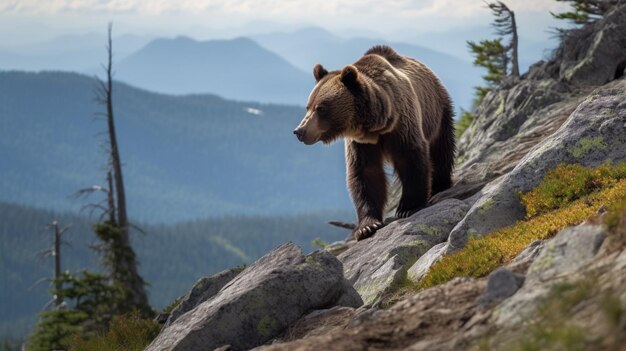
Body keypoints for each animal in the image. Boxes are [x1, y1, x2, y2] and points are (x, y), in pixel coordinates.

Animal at [292, 45, 454, 241]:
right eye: (308, 106)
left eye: (321, 108)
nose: (299, 131)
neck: (376, 126)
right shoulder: (360, 143)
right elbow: (365, 173)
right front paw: (367, 226)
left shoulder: (402, 124)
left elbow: (410, 156)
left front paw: (408, 207)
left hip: (437, 109)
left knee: (441, 148)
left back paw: (441, 185)